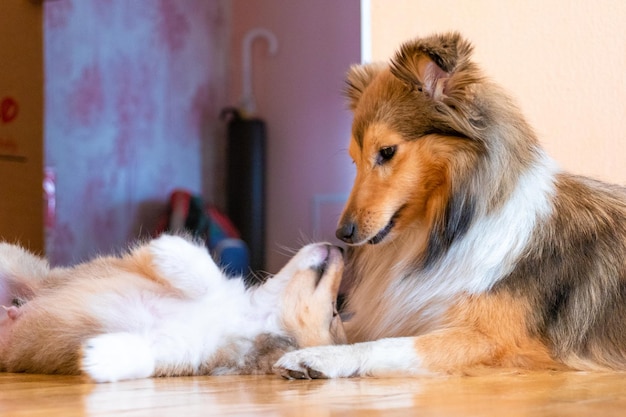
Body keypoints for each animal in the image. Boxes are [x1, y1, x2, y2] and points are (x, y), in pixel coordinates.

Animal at [0, 234, 344, 380]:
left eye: (334, 315)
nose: (340, 247)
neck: (249, 317)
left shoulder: (184, 353)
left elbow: (143, 357)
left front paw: (99, 358)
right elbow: (209, 278)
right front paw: (170, 250)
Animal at [276, 31, 624, 376]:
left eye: (386, 152)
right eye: (353, 160)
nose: (343, 234)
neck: (448, 231)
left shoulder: (494, 340)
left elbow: (387, 345)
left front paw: (317, 357)